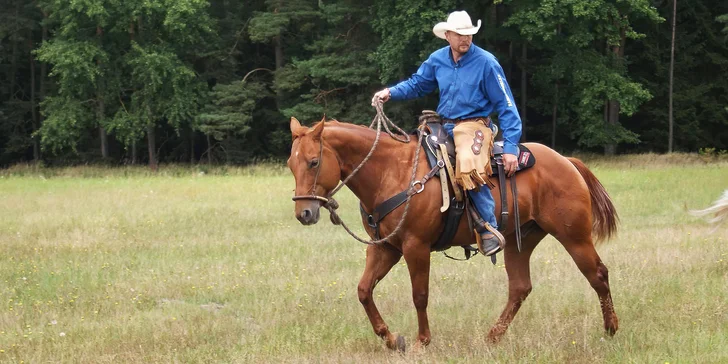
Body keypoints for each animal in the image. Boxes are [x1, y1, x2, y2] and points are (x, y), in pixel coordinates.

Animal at [288, 116, 616, 350]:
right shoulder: (385, 247)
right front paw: (392, 339)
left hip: (574, 237)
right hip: (519, 240)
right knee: (520, 287)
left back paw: (610, 330)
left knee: (598, 275)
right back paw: (492, 337)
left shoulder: (415, 246)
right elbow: (364, 290)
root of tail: (566, 162)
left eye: (314, 162)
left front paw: (422, 341)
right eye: (291, 164)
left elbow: (419, 294)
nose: (304, 213)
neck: (391, 172)